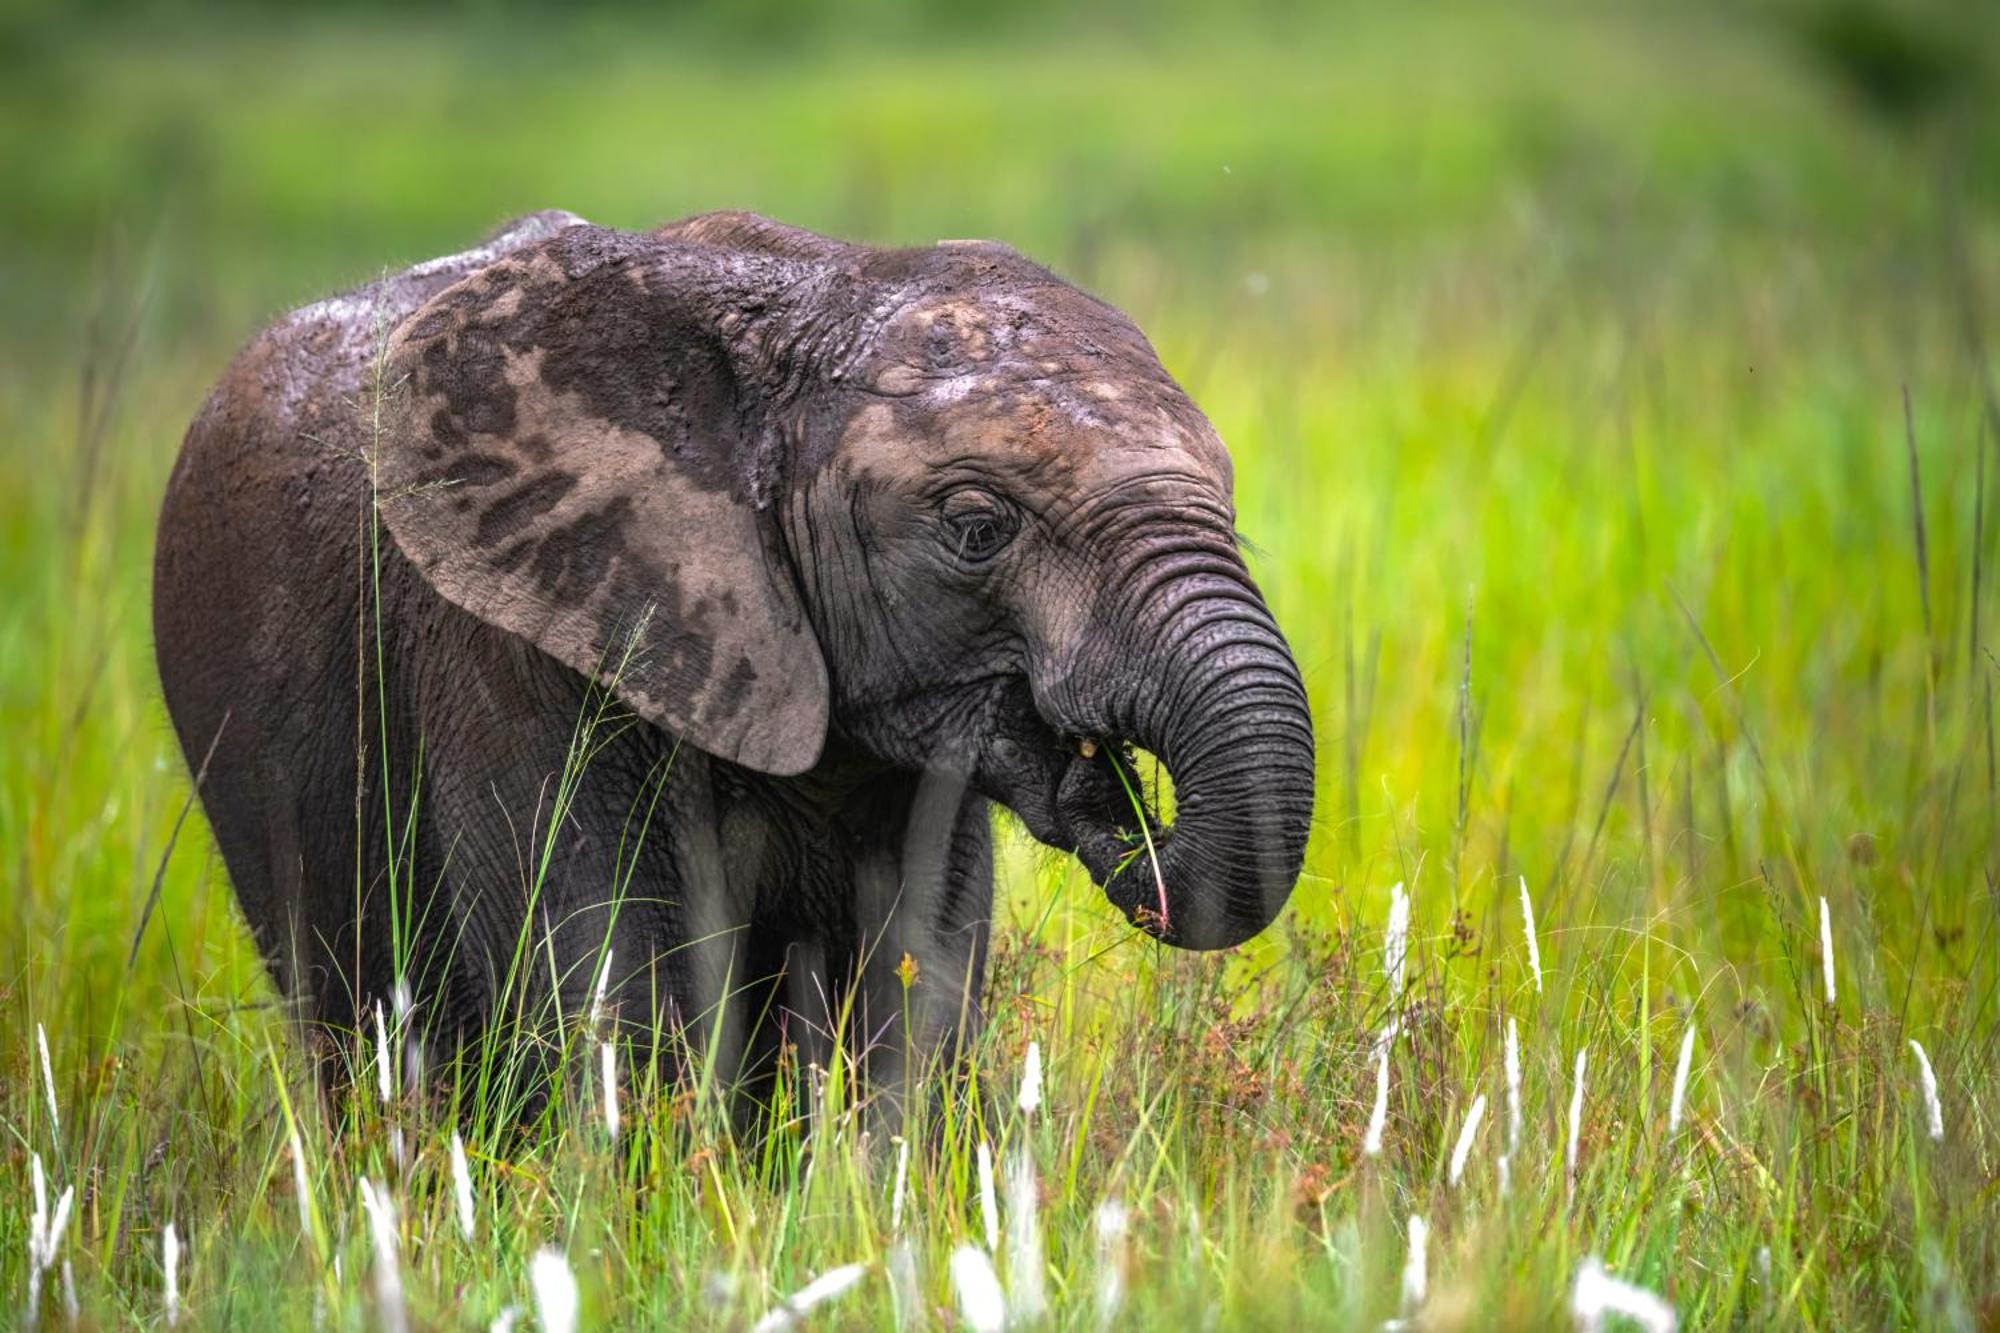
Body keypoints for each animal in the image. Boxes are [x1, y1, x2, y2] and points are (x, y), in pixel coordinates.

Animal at [152, 210, 1312, 1112]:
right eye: (978, 528)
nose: (1116, 792)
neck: (807, 302)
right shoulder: (513, 640)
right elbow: (609, 986)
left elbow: (918, 981)